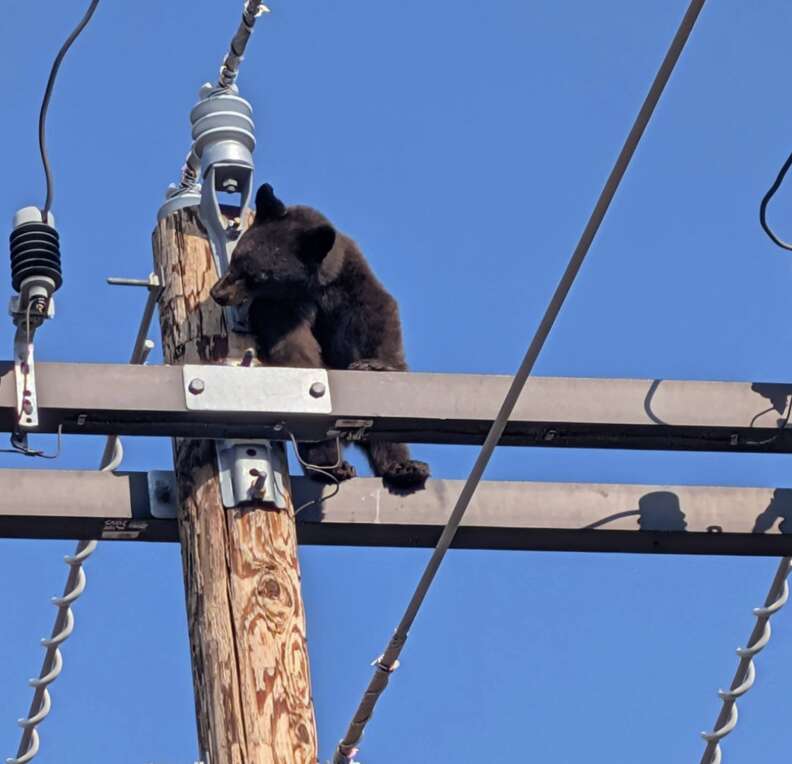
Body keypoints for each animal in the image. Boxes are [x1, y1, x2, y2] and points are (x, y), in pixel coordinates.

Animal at [211, 183, 430, 492]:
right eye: (235, 259)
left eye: (258, 276)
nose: (218, 293)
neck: (313, 286)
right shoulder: (280, 308)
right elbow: (295, 347)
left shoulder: (349, 282)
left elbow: (377, 316)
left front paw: (374, 364)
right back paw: (333, 466)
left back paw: (405, 467)